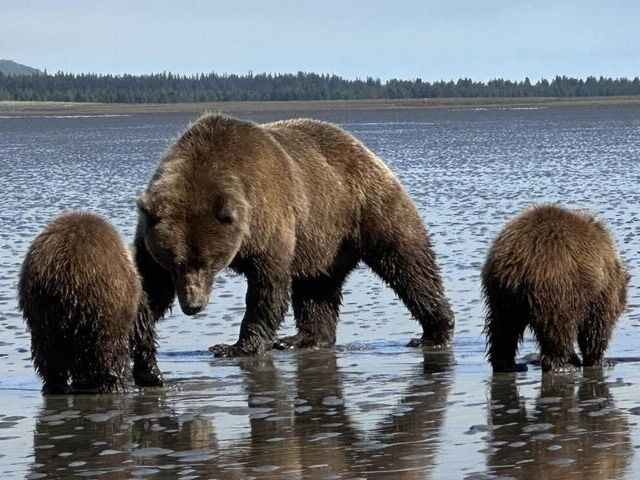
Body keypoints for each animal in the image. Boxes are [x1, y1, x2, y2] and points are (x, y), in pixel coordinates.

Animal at [18, 211, 141, 393]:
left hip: (41, 308)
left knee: (49, 352)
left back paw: (56, 385)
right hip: (104, 302)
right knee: (110, 348)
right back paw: (121, 383)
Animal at [132, 112, 454, 375]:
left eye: (209, 264)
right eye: (174, 264)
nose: (193, 306)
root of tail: (360, 145)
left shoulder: (268, 216)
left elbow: (267, 286)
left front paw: (235, 346)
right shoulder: (150, 233)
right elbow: (148, 286)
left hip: (365, 206)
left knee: (408, 263)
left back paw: (434, 332)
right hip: (322, 240)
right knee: (316, 287)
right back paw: (304, 338)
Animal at [482, 204, 629, 373]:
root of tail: (518, 264)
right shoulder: (600, 292)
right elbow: (596, 327)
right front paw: (600, 360)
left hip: (501, 292)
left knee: (503, 327)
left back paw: (510, 364)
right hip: (556, 286)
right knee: (558, 329)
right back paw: (562, 365)